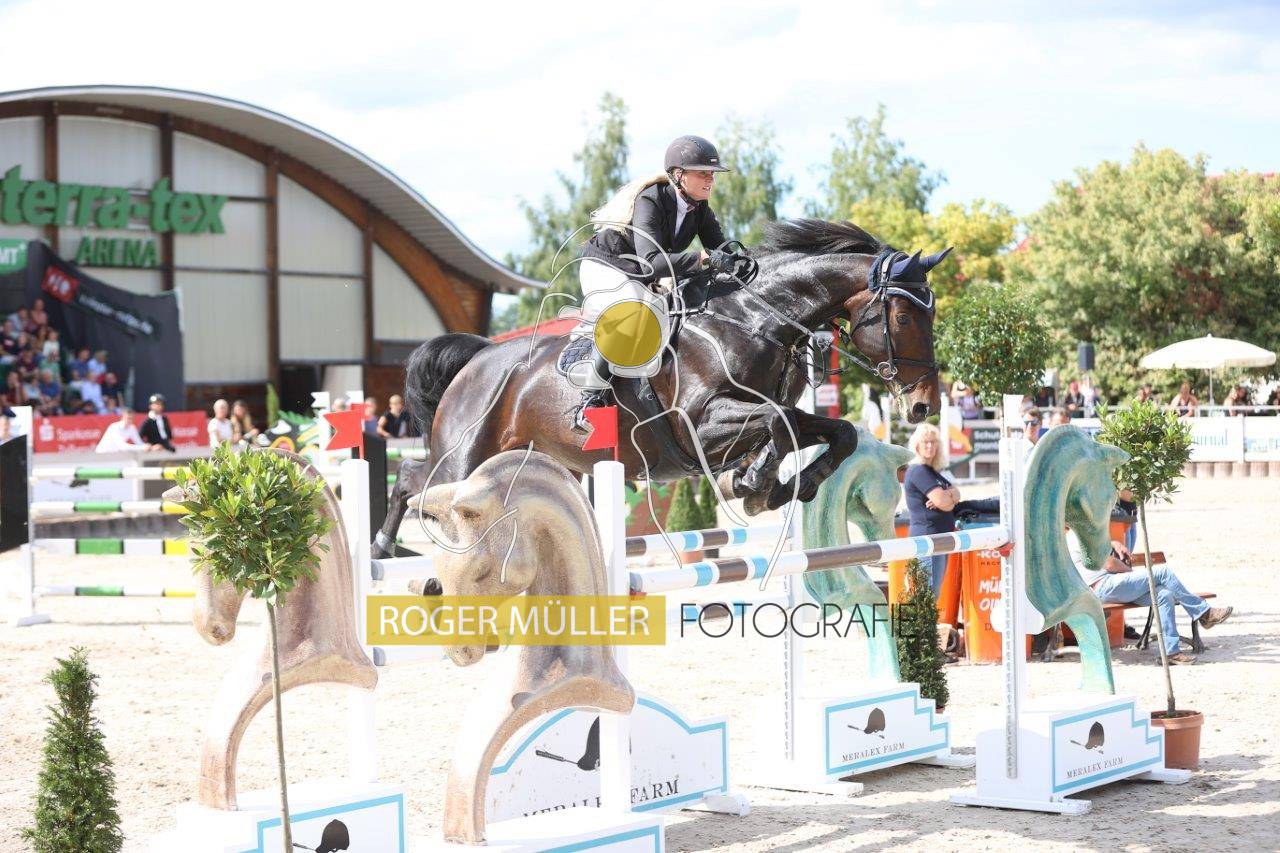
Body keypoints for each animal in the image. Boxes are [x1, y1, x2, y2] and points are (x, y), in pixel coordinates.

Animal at [373, 219, 946, 559]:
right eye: (901, 316)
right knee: (415, 479)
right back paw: (382, 547)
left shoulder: (775, 412)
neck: (752, 319)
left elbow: (836, 431)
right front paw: (755, 484)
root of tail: (478, 358)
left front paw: (785, 485)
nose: (925, 405)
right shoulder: (701, 426)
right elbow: (776, 425)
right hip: (463, 459)